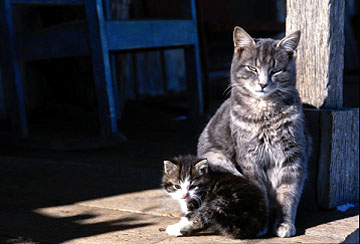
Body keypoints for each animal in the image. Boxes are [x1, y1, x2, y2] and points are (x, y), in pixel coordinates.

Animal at [197, 26, 312, 238]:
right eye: (252, 69)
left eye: (276, 70)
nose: (262, 84)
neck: (265, 114)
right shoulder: (249, 159)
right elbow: (259, 192)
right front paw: (261, 223)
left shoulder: (293, 156)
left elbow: (288, 193)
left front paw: (284, 223)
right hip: (218, 159)